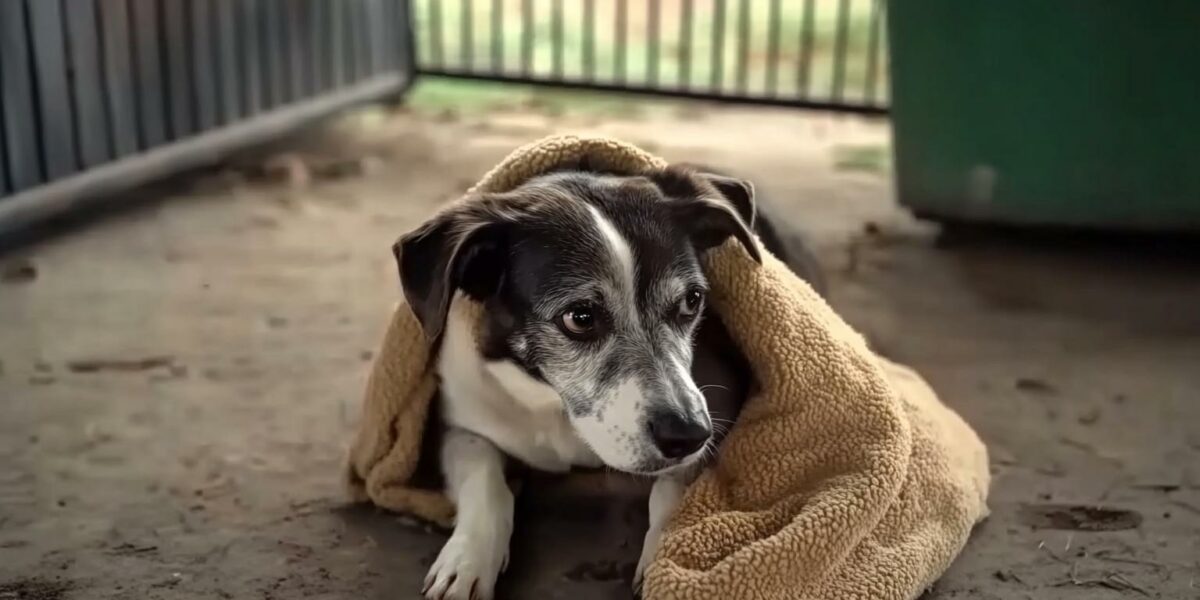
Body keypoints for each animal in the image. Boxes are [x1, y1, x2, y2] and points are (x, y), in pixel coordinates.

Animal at [393, 165, 825, 600]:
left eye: (692, 300)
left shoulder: (718, 411)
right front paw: (467, 561)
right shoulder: (457, 423)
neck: (556, 406)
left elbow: (672, 487)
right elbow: (485, 481)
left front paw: (663, 560)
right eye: (580, 317)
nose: (687, 434)